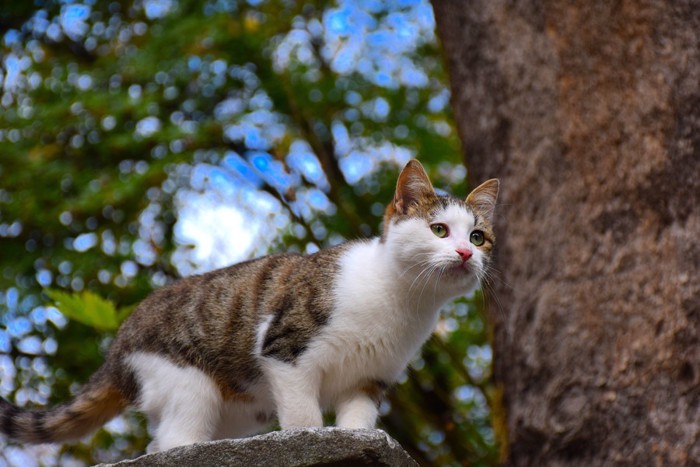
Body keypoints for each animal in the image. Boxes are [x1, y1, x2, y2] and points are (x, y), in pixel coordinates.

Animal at [0, 159, 498, 456]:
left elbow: (357, 425)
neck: (404, 301)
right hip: (185, 383)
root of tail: (118, 344)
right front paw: (309, 439)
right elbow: (304, 418)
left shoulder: (369, 379)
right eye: (438, 230)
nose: (465, 254)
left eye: (478, 237)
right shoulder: (285, 350)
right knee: (172, 441)